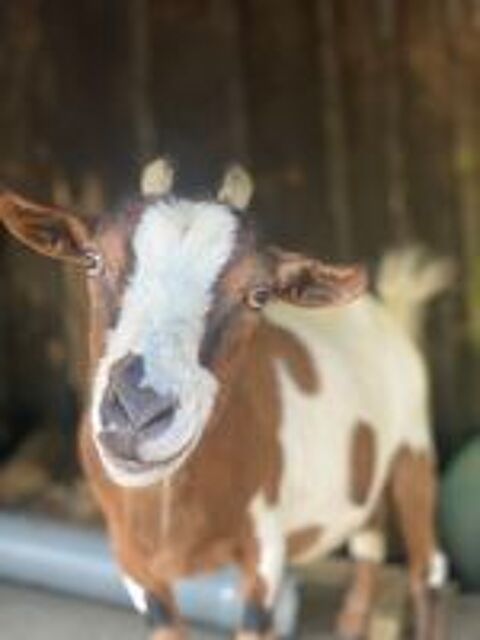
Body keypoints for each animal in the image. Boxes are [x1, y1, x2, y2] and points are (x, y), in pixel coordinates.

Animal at [0, 161, 450, 640]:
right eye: (92, 260)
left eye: (259, 295)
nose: (138, 413)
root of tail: (390, 315)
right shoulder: (131, 560)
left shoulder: (265, 549)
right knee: (370, 536)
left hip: (415, 449)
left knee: (427, 565)